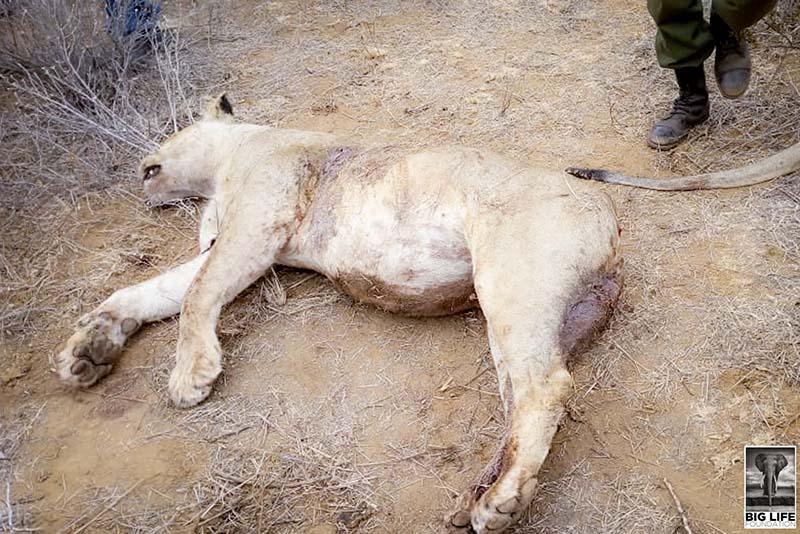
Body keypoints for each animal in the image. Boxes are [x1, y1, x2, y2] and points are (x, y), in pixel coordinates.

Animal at [55, 94, 622, 533]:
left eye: (174, 131)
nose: (141, 169)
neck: (226, 163)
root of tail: (610, 220)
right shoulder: (241, 246)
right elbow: (147, 290)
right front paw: (87, 346)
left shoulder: (257, 224)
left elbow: (197, 293)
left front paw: (190, 375)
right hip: (534, 315)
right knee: (517, 404)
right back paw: (476, 498)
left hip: (509, 284)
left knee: (546, 387)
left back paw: (503, 501)